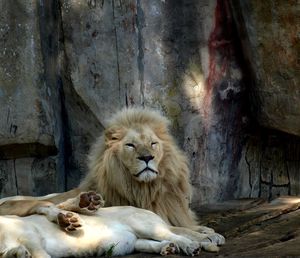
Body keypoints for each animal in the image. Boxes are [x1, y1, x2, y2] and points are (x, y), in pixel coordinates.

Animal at [0, 107, 199, 230]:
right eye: (130, 145)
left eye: (153, 143)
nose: (147, 158)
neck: (146, 189)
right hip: (19, 204)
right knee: (47, 205)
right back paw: (75, 211)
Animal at [0, 192, 225, 256]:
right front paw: (17, 253)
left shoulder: (29, 233)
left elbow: (38, 252)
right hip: (132, 242)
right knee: (155, 242)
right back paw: (169, 249)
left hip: (142, 224)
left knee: (174, 234)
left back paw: (192, 246)